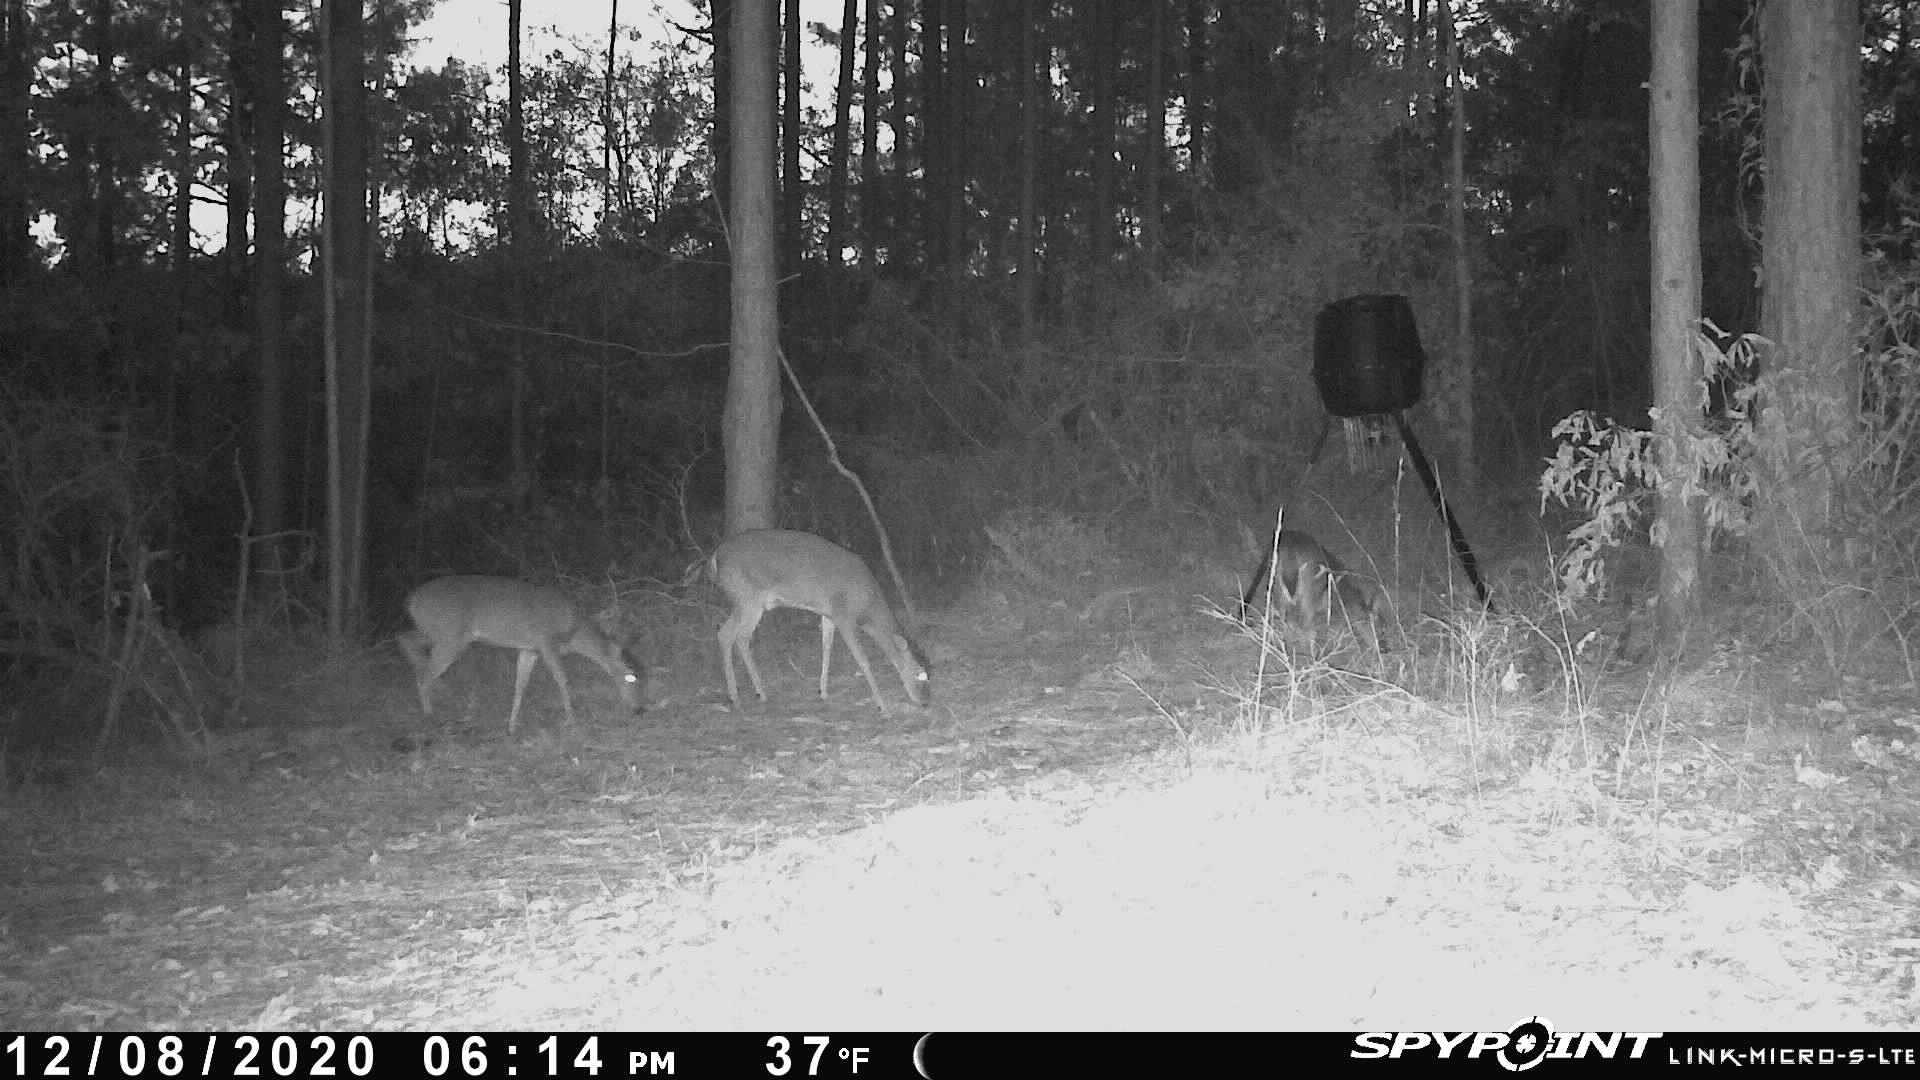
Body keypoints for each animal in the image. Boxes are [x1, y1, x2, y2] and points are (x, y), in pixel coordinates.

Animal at [393, 572, 641, 730]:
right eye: (631, 677)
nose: (638, 708)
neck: (573, 631)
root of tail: (411, 599)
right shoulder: (546, 641)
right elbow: (562, 678)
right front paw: (571, 720)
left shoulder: (529, 649)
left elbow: (520, 684)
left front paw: (512, 725)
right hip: (450, 636)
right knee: (424, 675)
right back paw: (430, 713)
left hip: (436, 632)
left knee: (404, 638)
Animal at [706, 530, 929, 714]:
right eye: (919, 673)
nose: (925, 702)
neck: (867, 607)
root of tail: (716, 556)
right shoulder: (843, 614)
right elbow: (862, 659)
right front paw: (882, 706)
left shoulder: (828, 614)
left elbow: (826, 648)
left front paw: (823, 692)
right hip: (748, 598)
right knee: (738, 636)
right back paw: (747, 695)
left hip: (743, 601)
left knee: (724, 633)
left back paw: (748, 694)